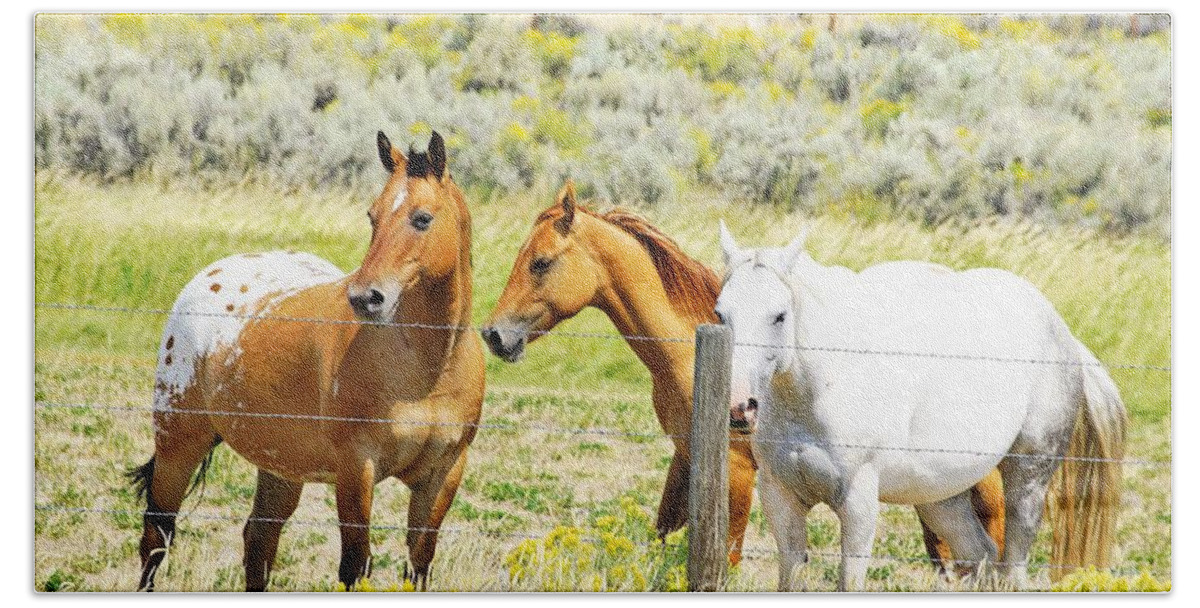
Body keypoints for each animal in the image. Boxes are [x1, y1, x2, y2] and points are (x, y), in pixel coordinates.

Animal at [127, 131, 482, 590]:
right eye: (372, 216)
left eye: (422, 218)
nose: (365, 297)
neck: (429, 368)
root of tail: (207, 278)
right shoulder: (356, 468)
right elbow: (355, 565)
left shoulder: (443, 473)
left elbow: (418, 565)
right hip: (179, 444)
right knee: (157, 536)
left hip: (279, 467)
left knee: (259, 540)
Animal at [482, 183, 1008, 573]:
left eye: (541, 262)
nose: (493, 334)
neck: (692, 351)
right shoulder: (686, 457)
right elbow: (661, 537)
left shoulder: (735, 473)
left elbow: (728, 559)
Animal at [710, 224, 1123, 590]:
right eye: (721, 314)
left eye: (779, 315)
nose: (740, 408)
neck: (816, 393)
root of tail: (1062, 333)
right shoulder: (781, 498)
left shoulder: (858, 503)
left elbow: (849, 582)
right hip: (942, 498)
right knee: (983, 556)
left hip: (1028, 477)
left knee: (1012, 569)